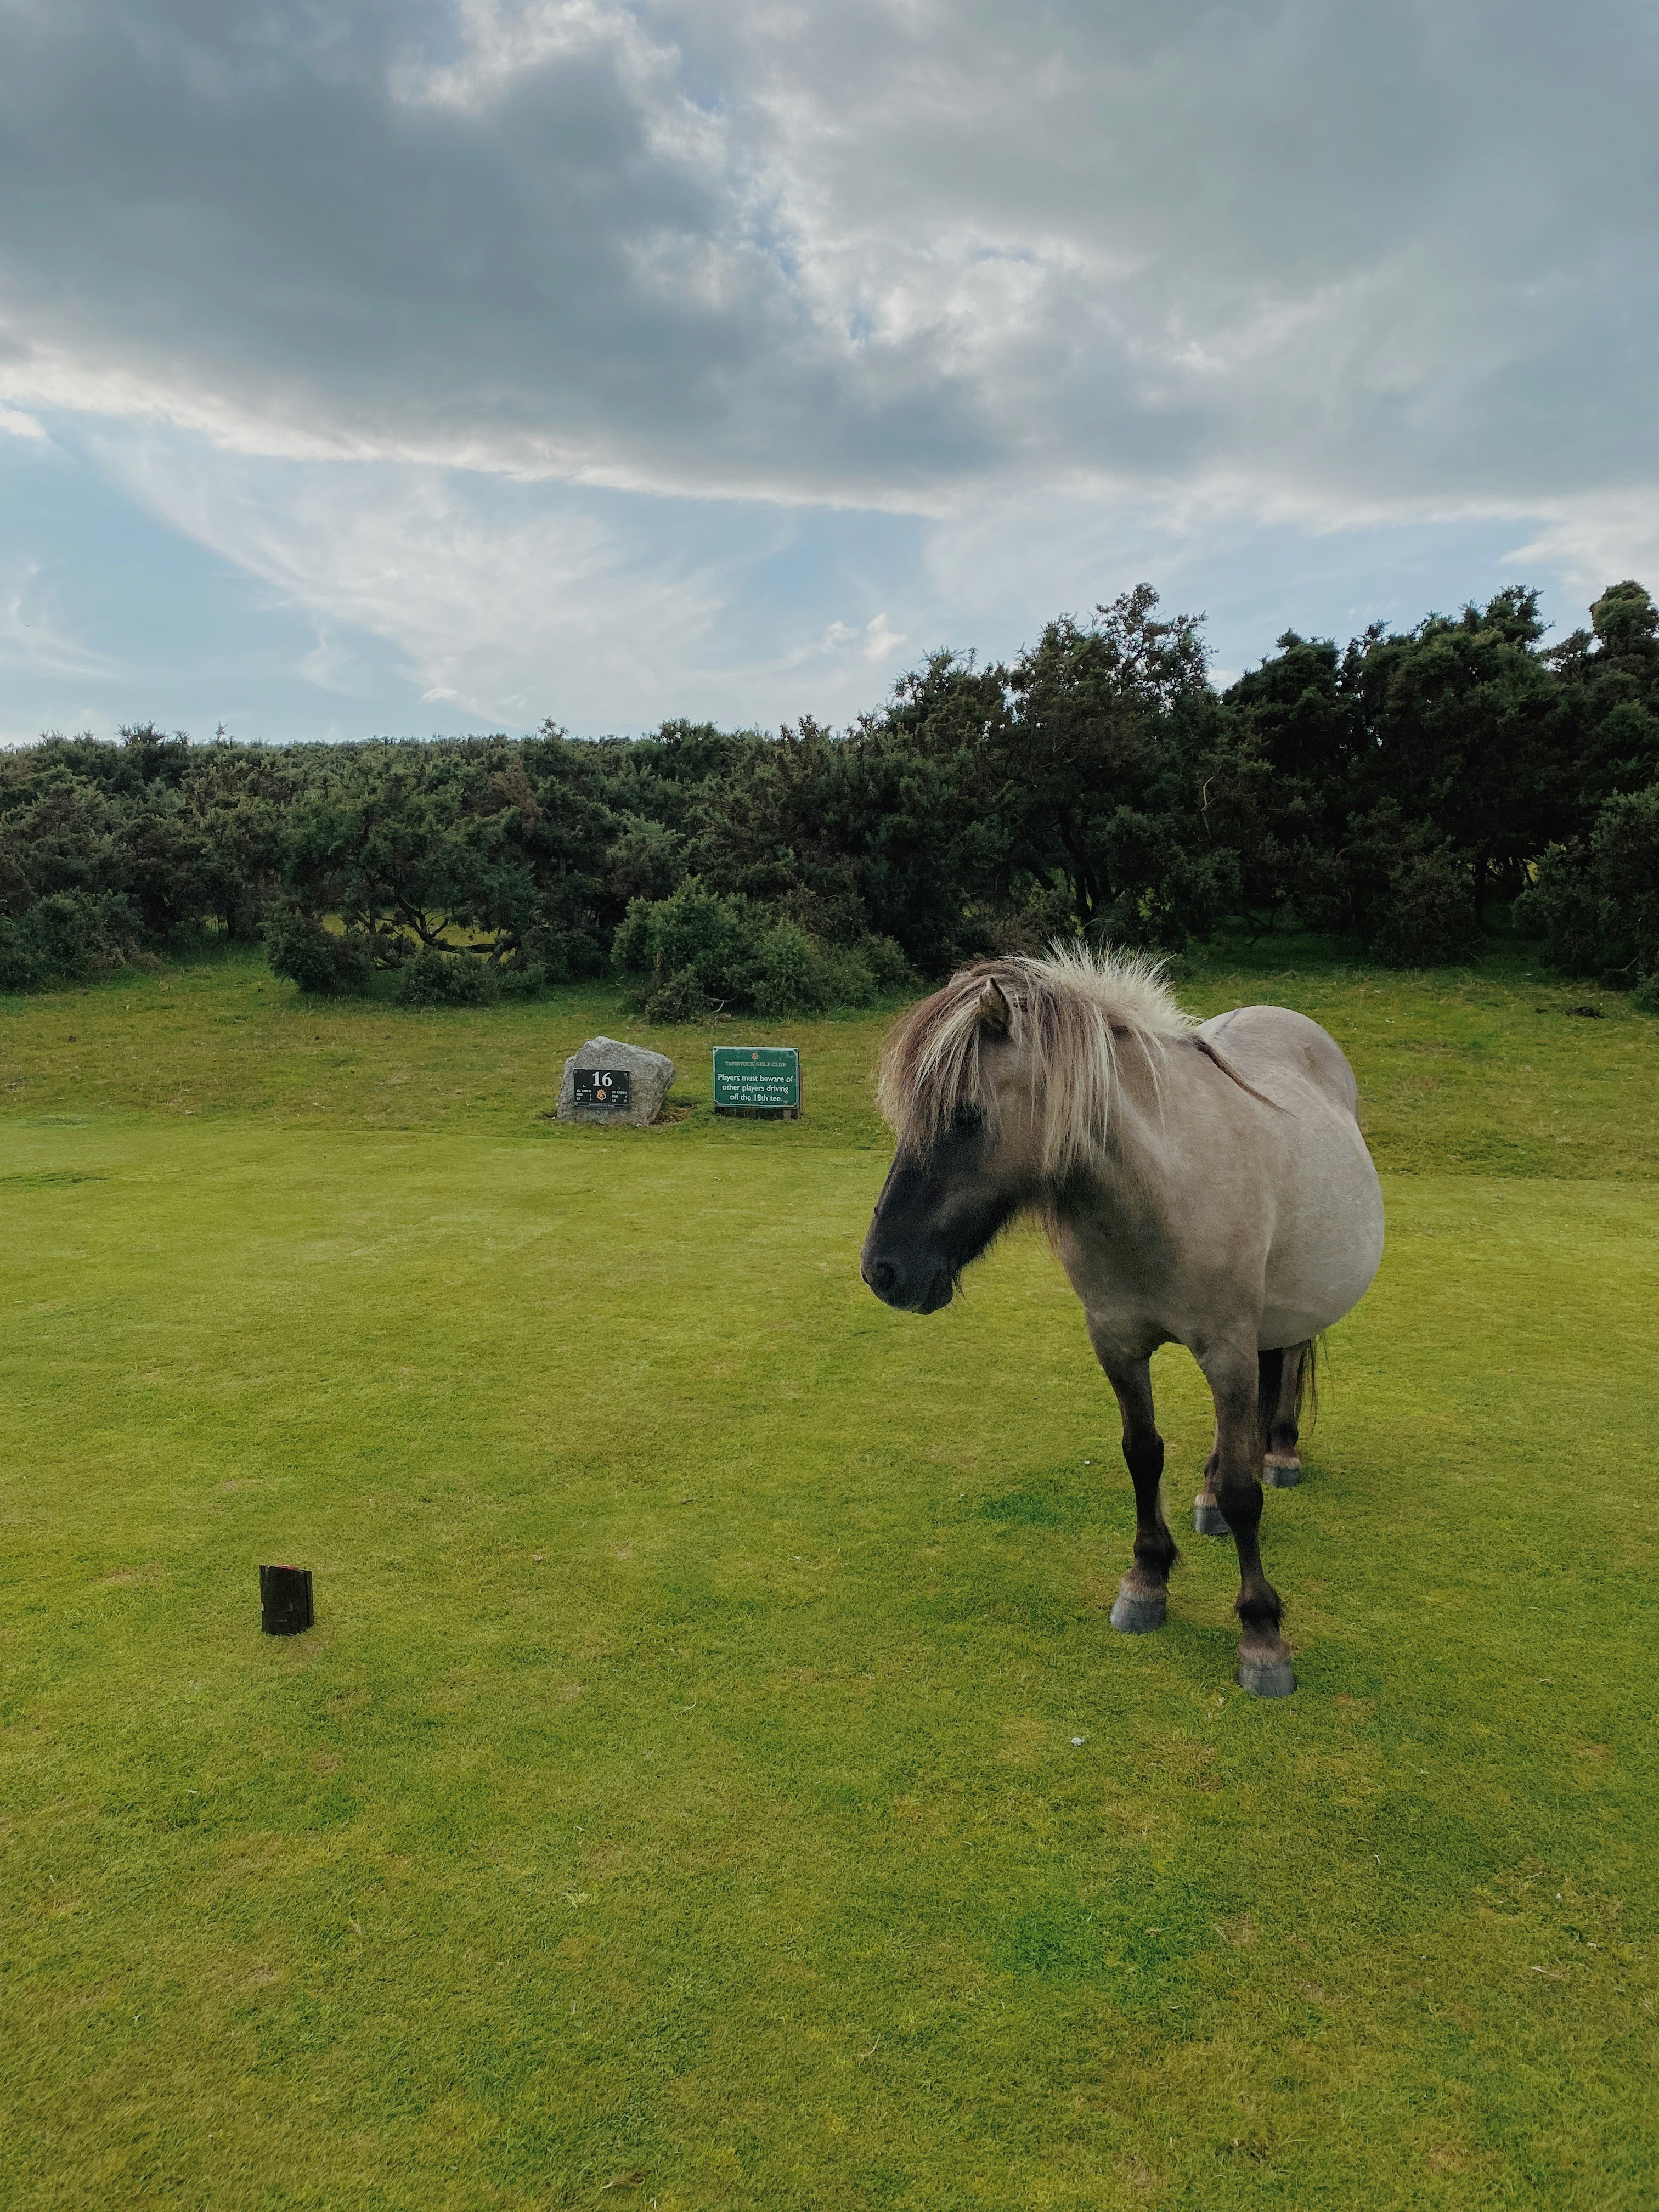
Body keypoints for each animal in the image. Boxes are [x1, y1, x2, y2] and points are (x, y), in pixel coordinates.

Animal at [859, 946, 1384, 1697]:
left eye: (965, 1116)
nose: (884, 1272)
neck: (1158, 1189)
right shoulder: (1117, 1344)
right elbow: (1143, 1455)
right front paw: (1146, 1579)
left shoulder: (1226, 1349)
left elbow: (1246, 1491)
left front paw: (1261, 1633)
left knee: (1285, 1365)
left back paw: (1279, 1451)